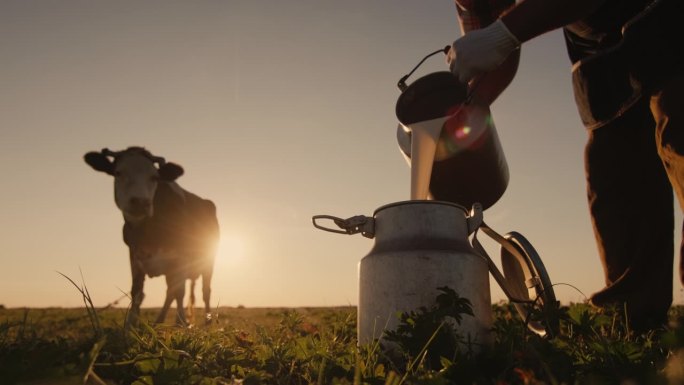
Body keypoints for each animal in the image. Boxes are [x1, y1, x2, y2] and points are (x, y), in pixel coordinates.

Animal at [84, 146, 219, 324]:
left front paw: (182, 322)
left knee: (205, 290)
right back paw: (160, 319)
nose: (140, 202)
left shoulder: (181, 256)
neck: (149, 231)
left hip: (208, 260)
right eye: (118, 172)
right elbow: (136, 291)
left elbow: (180, 291)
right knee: (170, 292)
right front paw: (131, 323)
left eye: (154, 177)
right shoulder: (134, 254)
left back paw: (206, 319)